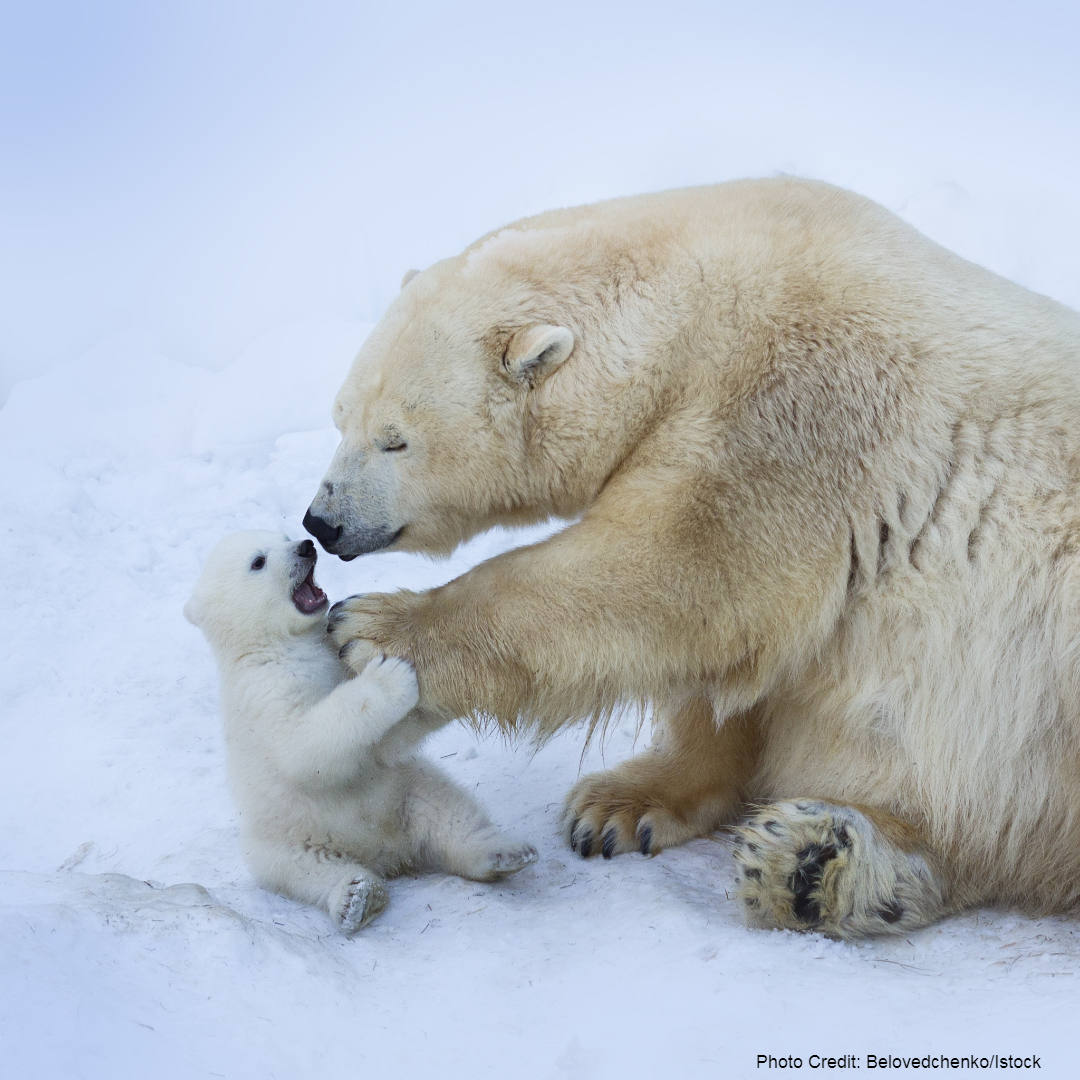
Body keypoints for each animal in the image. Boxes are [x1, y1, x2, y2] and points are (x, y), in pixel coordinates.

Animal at [184, 531, 537, 933]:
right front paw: (390, 674)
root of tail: (385, 851)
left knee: (447, 812)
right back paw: (357, 897)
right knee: (303, 870)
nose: (305, 546)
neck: (278, 643)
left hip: (406, 791)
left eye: (283, 536)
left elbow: (382, 746)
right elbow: (303, 747)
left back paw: (504, 853)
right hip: (283, 839)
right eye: (258, 561)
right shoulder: (265, 691)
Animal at [302, 177, 1080, 939]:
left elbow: (679, 571)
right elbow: (731, 672)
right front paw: (619, 806)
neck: (696, 311)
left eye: (396, 439)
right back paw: (812, 866)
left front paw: (375, 628)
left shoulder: (800, 408)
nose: (322, 521)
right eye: (340, 417)